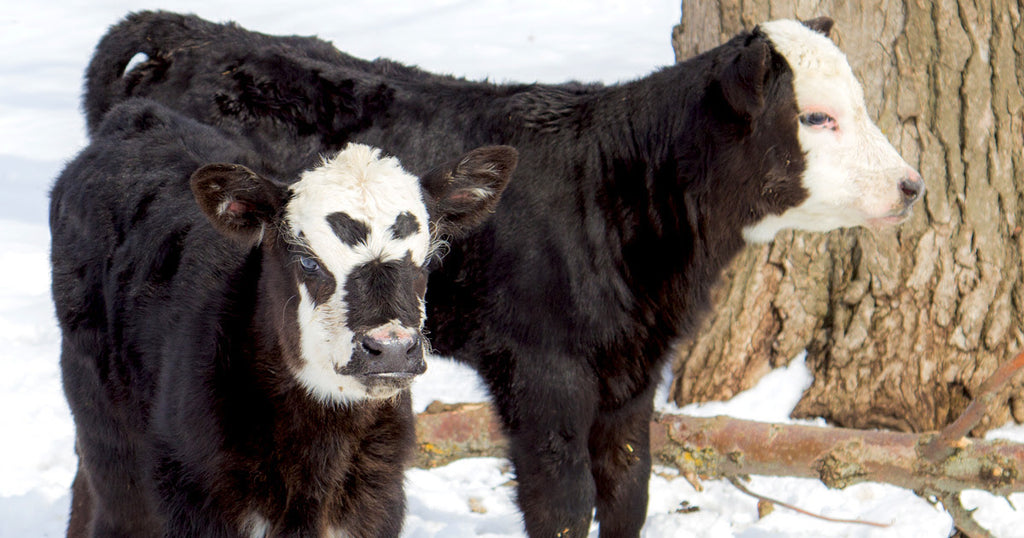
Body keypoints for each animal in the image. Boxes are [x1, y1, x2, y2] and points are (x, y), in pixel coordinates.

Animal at [49, 97, 516, 537]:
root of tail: (137, 117)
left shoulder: (376, 503)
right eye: (307, 260)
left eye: (429, 259)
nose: (391, 348)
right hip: (111, 442)